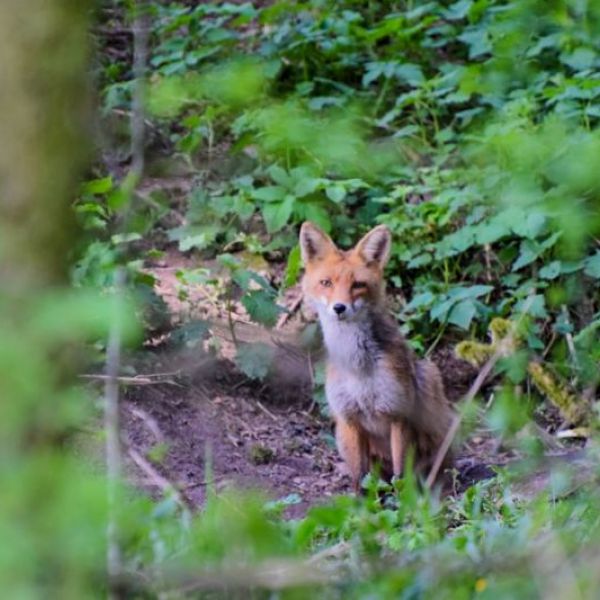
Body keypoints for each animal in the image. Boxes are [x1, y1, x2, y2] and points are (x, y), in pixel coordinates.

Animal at [300, 221, 454, 492]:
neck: (357, 367)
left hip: (430, 380)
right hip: (342, 436)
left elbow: (401, 477)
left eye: (358, 285)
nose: (339, 308)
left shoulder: (398, 413)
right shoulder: (349, 418)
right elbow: (359, 479)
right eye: (326, 283)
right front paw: (360, 502)